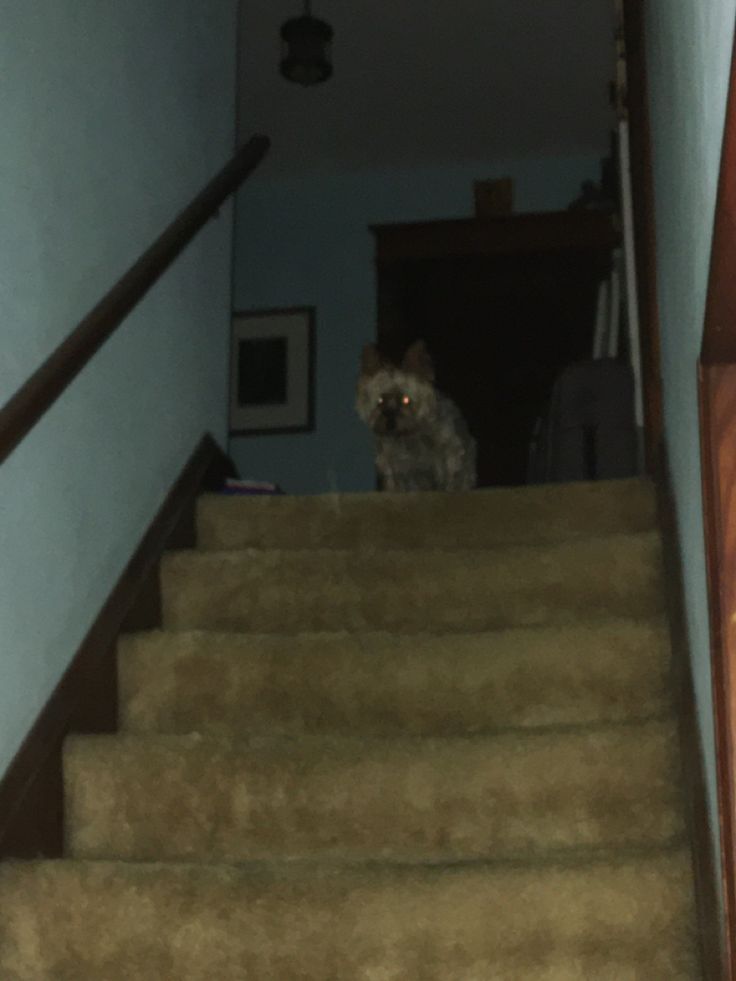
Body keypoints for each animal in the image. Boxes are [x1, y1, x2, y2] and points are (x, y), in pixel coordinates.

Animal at [356, 342, 478, 494]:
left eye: (405, 400)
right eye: (380, 400)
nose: (390, 422)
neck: (408, 436)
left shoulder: (450, 450)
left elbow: (451, 473)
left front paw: (451, 487)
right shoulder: (392, 465)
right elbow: (395, 481)